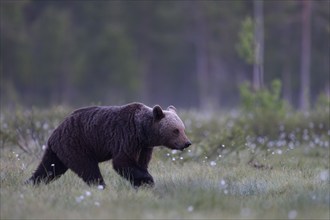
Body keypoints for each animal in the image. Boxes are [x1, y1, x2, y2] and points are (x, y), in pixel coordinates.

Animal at [26, 102, 191, 187]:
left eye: (183, 128)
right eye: (176, 130)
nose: (187, 143)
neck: (143, 131)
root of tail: (54, 133)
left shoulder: (144, 147)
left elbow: (140, 163)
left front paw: (142, 183)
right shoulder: (126, 136)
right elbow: (122, 162)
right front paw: (148, 180)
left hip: (59, 151)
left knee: (49, 168)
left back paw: (30, 183)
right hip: (77, 144)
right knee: (88, 168)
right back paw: (101, 186)